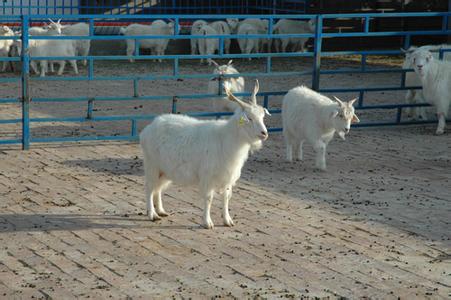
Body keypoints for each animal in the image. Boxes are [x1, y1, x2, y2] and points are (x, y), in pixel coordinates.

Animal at [139, 79, 270, 230]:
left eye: (262, 116)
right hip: (151, 165)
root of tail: (148, 129)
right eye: (249, 118)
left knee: (158, 188)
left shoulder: (227, 176)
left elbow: (226, 198)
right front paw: (207, 222)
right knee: (149, 187)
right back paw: (152, 214)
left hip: (165, 170)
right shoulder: (207, 176)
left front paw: (228, 221)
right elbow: (208, 199)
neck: (226, 138)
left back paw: (161, 211)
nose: (264, 133)